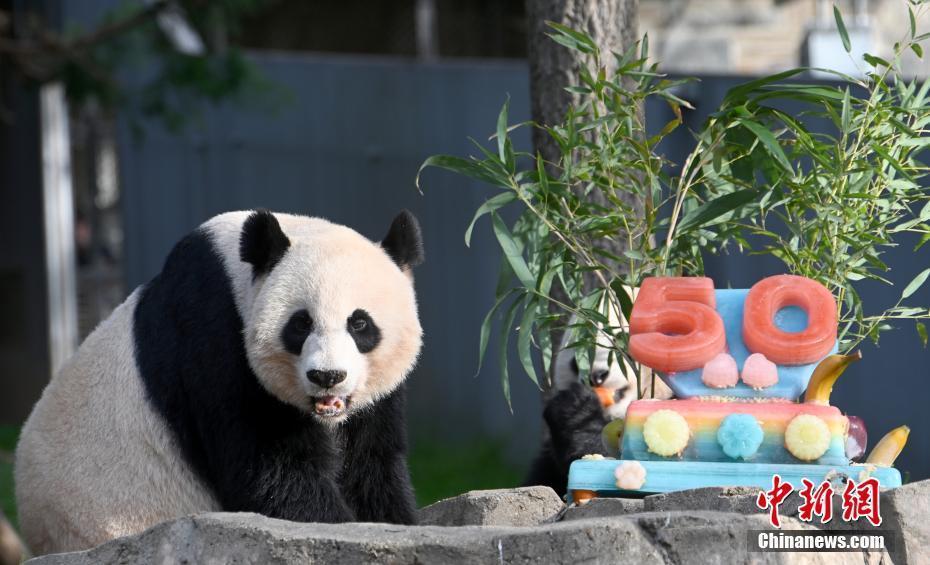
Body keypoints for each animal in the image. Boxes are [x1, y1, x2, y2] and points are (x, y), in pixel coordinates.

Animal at [14, 209, 424, 552]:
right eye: (300, 324)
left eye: (360, 323)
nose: (327, 376)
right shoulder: (214, 335)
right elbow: (270, 470)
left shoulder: (375, 401)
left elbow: (371, 465)